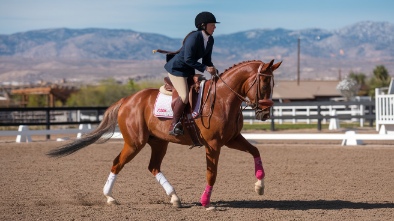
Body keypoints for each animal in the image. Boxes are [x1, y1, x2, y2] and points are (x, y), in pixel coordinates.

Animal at [47, 58, 282, 209]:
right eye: (263, 83)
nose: (264, 114)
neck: (224, 98)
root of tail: (127, 100)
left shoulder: (232, 139)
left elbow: (255, 151)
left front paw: (260, 186)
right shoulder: (214, 144)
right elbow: (212, 173)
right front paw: (206, 202)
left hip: (159, 142)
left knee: (153, 167)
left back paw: (175, 198)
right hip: (135, 142)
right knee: (117, 163)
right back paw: (110, 198)